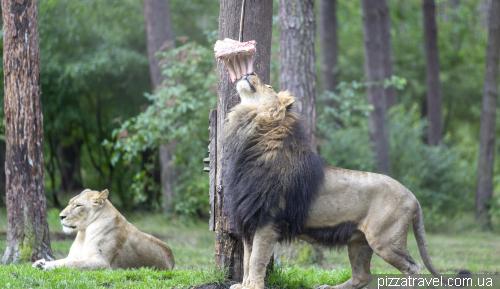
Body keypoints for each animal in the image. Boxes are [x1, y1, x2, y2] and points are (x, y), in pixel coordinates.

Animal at [32, 188, 174, 268]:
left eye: (78, 205)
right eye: (70, 203)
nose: (61, 216)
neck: (83, 233)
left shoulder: (101, 262)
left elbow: (71, 264)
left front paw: (46, 267)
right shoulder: (74, 256)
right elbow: (59, 261)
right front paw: (40, 263)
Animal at [224, 75, 464, 288]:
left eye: (269, 86)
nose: (249, 73)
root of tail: (413, 196)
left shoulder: (268, 219)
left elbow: (257, 260)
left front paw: (253, 287)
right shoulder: (250, 218)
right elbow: (247, 260)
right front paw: (242, 286)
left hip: (385, 239)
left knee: (414, 268)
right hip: (359, 241)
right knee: (362, 277)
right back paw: (327, 287)